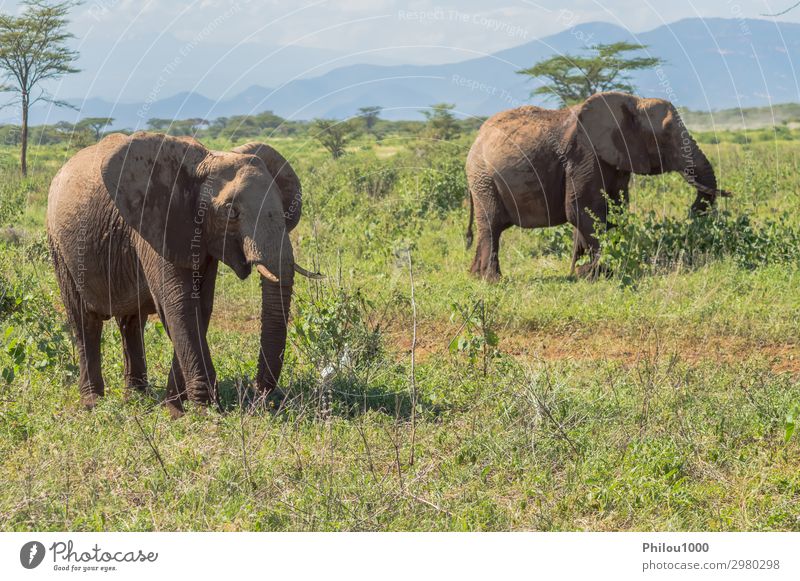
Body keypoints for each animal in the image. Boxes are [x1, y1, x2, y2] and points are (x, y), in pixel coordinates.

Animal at [45, 131, 318, 414]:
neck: (204, 162)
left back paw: (137, 398)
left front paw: (174, 408)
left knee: (131, 322)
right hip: (60, 246)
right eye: (232, 212)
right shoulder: (157, 221)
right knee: (84, 321)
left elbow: (201, 307)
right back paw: (93, 403)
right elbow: (180, 305)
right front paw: (204, 410)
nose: (259, 395)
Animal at [462, 92, 732, 280]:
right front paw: (593, 273)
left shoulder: (616, 158)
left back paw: (476, 276)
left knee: (491, 228)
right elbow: (580, 208)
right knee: (492, 226)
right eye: (665, 133)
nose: (692, 210)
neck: (634, 101)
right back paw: (492, 280)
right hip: (483, 178)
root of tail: (475, 141)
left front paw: (584, 272)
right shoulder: (583, 155)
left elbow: (616, 209)